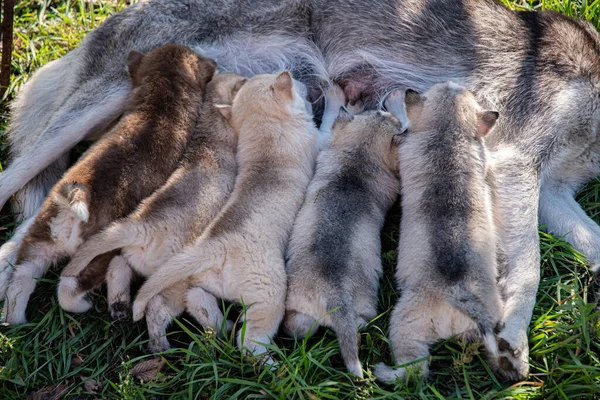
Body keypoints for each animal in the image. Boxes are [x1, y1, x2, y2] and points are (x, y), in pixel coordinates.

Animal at [1, 44, 217, 324]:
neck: (162, 96)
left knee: (21, 277)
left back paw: (14, 319)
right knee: (68, 285)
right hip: (95, 255)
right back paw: (83, 305)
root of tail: (75, 199)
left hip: (40, 240)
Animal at [131, 71, 318, 360]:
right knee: (249, 342)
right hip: (269, 293)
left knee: (197, 301)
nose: (306, 83)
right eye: (296, 84)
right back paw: (275, 364)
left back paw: (219, 328)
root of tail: (214, 245)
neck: (265, 127)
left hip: (198, 282)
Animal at [282, 104, 404, 376]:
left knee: (299, 328)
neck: (358, 157)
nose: (388, 111)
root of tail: (334, 295)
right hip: (363, 310)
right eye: (380, 114)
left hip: (301, 311)